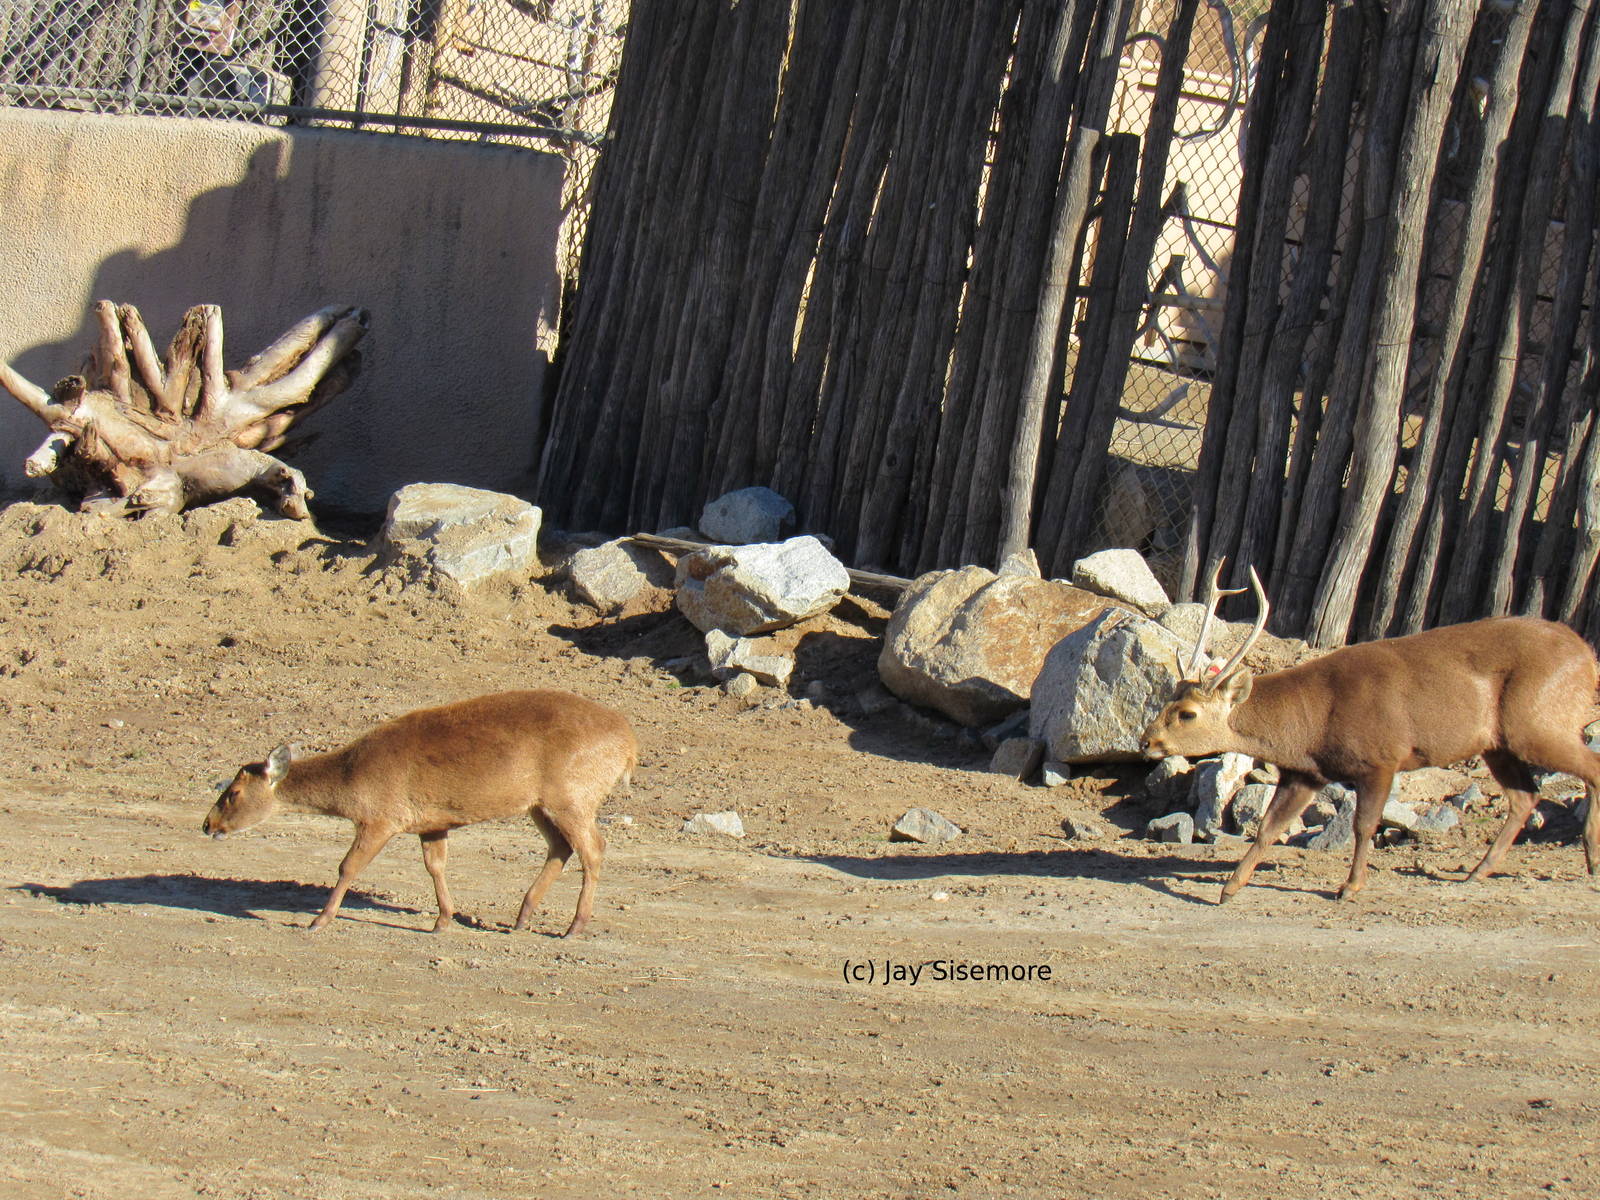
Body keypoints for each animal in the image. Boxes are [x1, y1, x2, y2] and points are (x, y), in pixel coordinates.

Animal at [202, 690, 637, 936]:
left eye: (233, 793)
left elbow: (347, 867)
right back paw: (520, 918)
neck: (352, 779)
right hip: (540, 805)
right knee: (561, 849)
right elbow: (435, 866)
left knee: (594, 849)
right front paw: (443, 920)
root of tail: (629, 743)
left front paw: (318, 921)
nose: (208, 825)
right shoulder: (432, 823)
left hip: (572, 798)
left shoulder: (379, 818)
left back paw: (574, 926)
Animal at [1139, 563, 1600, 903]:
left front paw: (1350, 887)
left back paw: (1591, 859)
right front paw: (1229, 889)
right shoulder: (1306, 773)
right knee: (1525, 796)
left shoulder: (1381, 758)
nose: (1146, 742)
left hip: (1540, 721)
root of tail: (1587, 655)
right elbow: (1268, 826)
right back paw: (1477, 871)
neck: (1311, 725)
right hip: (1498, 743)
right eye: (1168, 698)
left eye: (1187, 714)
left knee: (1589, 768)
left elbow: (1363, 825)